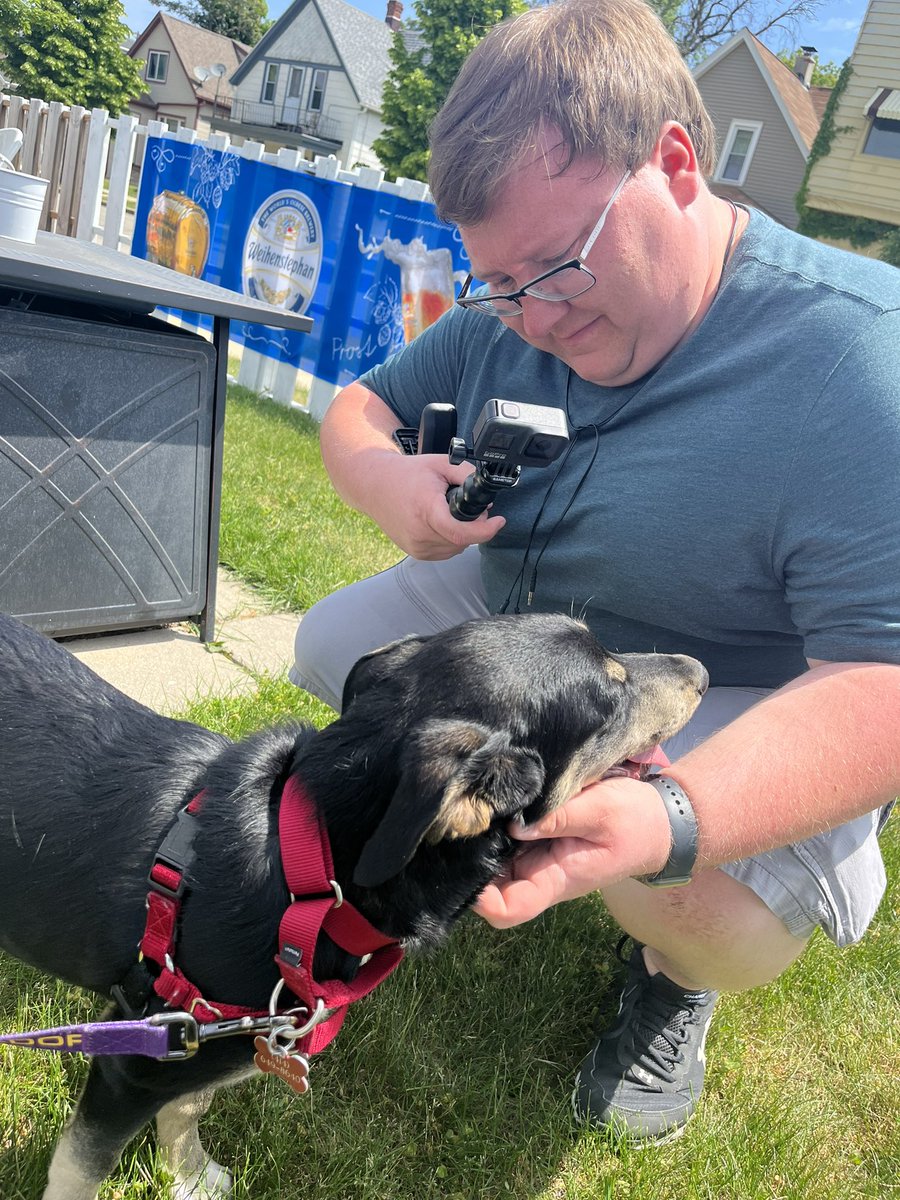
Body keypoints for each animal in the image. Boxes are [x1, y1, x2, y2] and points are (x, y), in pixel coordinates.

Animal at [0, 614, 710, 1195]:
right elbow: (80, 1169)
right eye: (612, 692)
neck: (309, 878)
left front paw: (190, 1177)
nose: (703, 673)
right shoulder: (132, 1063)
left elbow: (186, 1108)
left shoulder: (194, 1042)